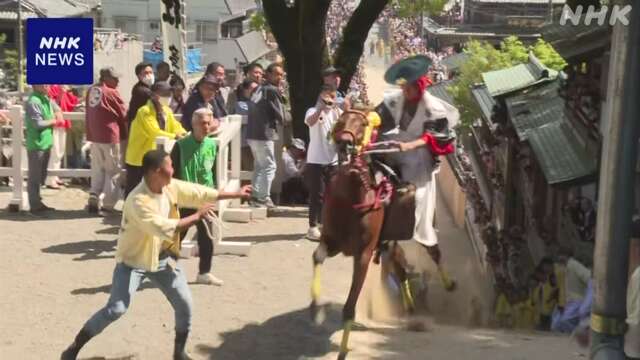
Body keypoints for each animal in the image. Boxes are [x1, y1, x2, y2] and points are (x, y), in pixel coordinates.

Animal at [308, 110, 416, 360]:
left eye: (363, 123)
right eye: (341, 120)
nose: (344, 143)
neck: (351, 199)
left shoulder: (364, 253)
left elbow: (350, 306)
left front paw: (342, 351)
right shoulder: (332, 241)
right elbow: (317, 257)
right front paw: (316, 309)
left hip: (389, 243)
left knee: (401, 270)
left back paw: (411, 311)